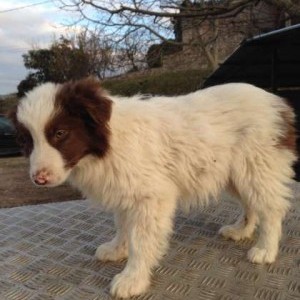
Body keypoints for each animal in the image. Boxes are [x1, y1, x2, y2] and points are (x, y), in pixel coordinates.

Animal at [9, 78, 298, 298]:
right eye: (26, 141)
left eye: (60, 134)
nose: (39, 179)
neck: (106, 145)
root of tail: (279, 103)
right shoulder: (125, 192)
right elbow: (123, 226)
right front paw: (117, 249)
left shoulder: (151, 197)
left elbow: (141, 240)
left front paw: (132, 279)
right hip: (235, 173)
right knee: (251, 203)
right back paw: (241, 230)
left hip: (256, 164)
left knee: (272, 208)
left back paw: (266, 249)